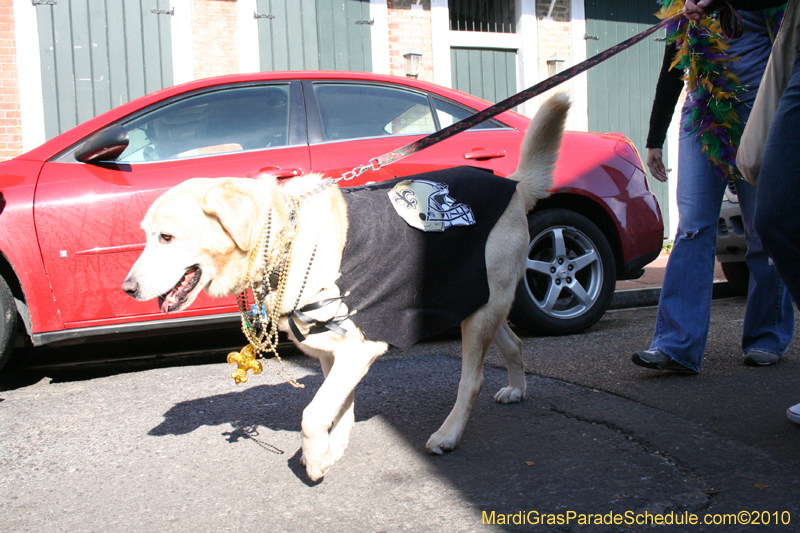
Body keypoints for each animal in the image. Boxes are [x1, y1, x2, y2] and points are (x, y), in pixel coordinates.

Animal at [122, 93, 572, 480]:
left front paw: (315, 459)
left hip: (477, 313)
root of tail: (514, 185)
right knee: (513, 342)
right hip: (479, 305)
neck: (285, 242)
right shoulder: (331, 353)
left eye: (166, 237)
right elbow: (337, 409)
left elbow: (313, 414)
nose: (127, 287)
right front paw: (330, 450)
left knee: (472, 379)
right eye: (144, 234)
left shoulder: (358, 347)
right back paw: (516, 389)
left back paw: (448, 434)